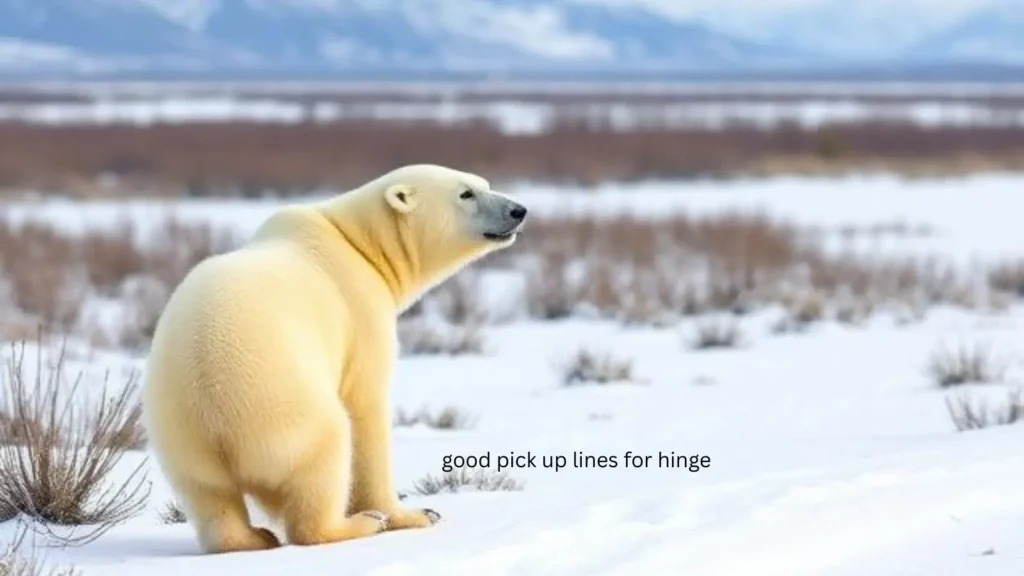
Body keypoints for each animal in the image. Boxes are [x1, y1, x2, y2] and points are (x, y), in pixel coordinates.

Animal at [141, 164, 528, 554]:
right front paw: (414, 514)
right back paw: (359, 523)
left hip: (181, 439)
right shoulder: (360, 310)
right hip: (286, 412)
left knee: (210, 496)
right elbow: (366, 406)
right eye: (466, 193)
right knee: (327, 450)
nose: (518, 210)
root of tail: (218, 422)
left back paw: (252, 537)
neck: (357, 244)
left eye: (484, 184)